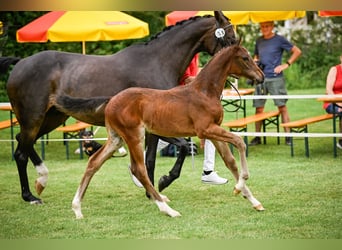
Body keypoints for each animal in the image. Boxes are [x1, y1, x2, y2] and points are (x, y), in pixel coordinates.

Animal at [6, 10, 236, 204]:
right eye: (231, 38)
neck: (157, 62)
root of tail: (20, 63)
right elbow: (178, 149)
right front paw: (161, 183)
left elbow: (155, 157)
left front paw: (151, 190)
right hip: (33, 118)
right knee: (21, 152)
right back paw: (30, 196)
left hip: (52, 118)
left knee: (22, 144)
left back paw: (40, 180)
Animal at [55, 42, 264, 217]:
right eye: (245, 58)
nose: (261, 77)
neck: (204, 92)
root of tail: (111, 100)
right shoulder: (205, 130)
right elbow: (240, 142)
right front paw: (240, 185)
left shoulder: (213, 130)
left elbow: (231, 162)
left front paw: (253, 200)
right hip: (134, 136)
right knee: (138, 169)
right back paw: (167, 209)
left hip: (116, 139)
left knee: (94, 162)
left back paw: (77, 208)